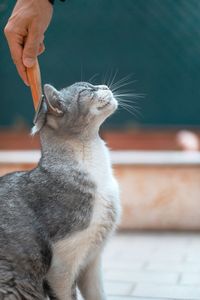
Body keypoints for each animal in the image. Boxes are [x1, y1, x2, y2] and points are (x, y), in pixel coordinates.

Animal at [0, 82, 120, 300]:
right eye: (87, 91)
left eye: (93, 85)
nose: (104, 86)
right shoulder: (62, 265)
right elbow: (67, 295)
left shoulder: (92, 262)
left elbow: (98, 295)